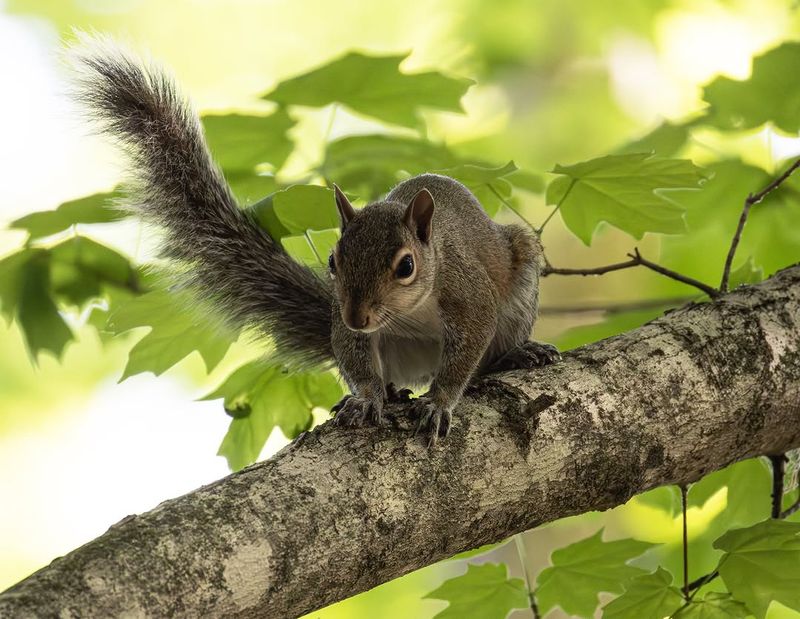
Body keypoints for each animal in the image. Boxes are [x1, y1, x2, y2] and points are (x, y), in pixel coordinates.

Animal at [71, 38, 559, 445]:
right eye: (332, 262)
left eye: (406, 266)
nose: (358, 316)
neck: (411, 308)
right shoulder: (348, 328)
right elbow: (356, 360)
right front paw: (367, 397)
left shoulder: (468, 296)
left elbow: (464, 356)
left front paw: (439, 403)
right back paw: (388, 392)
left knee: (491, 352)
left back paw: (516, 354)